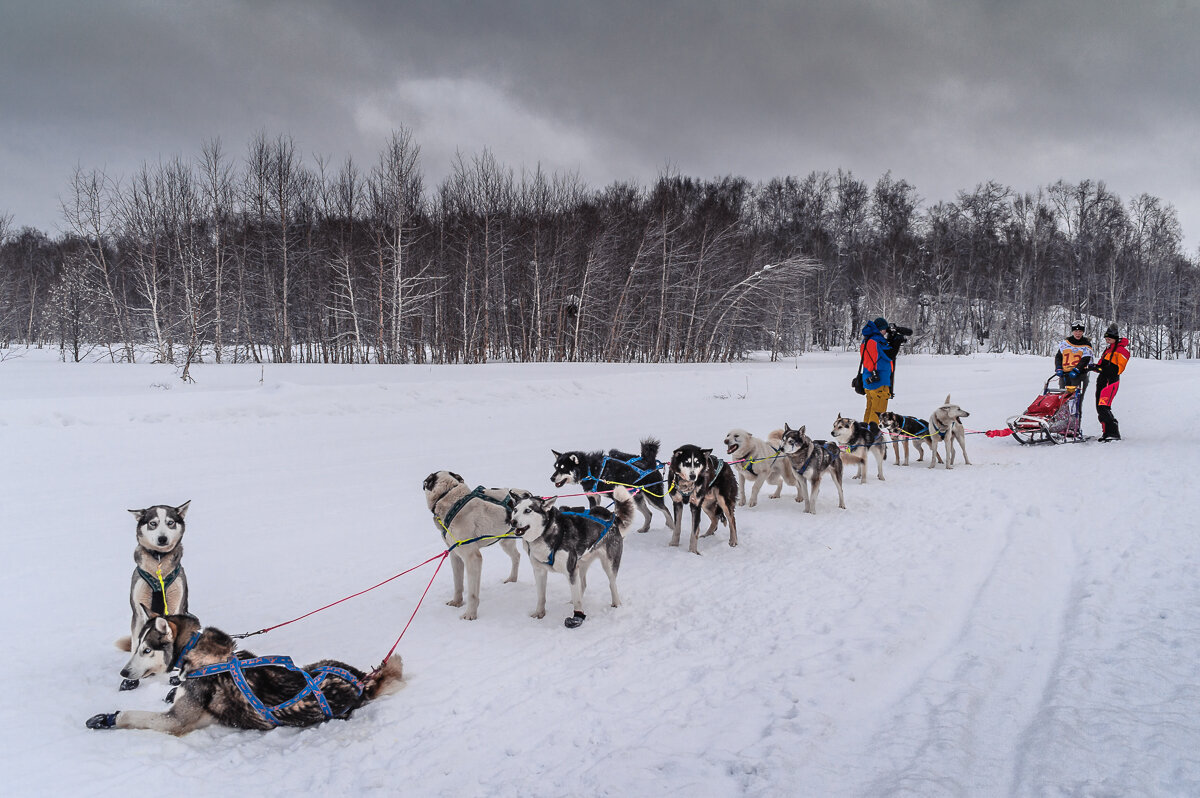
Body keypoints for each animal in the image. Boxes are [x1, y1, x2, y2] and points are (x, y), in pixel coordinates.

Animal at [119, 501, 192, 686]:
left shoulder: (176, 606)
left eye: (170, 522)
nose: (162, 539)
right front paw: (130, 681)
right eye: (153, 523)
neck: (158, 564)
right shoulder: (138, 612)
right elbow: (136, 645)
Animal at [424, 470, 532, 619]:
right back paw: (512, 579)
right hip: (506, 542)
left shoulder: (473, 558)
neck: (452, 500)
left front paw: (470, 614)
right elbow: (458, 584)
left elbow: (472, 594)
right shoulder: (455, 556)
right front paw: (457, 602)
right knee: (516, 556)